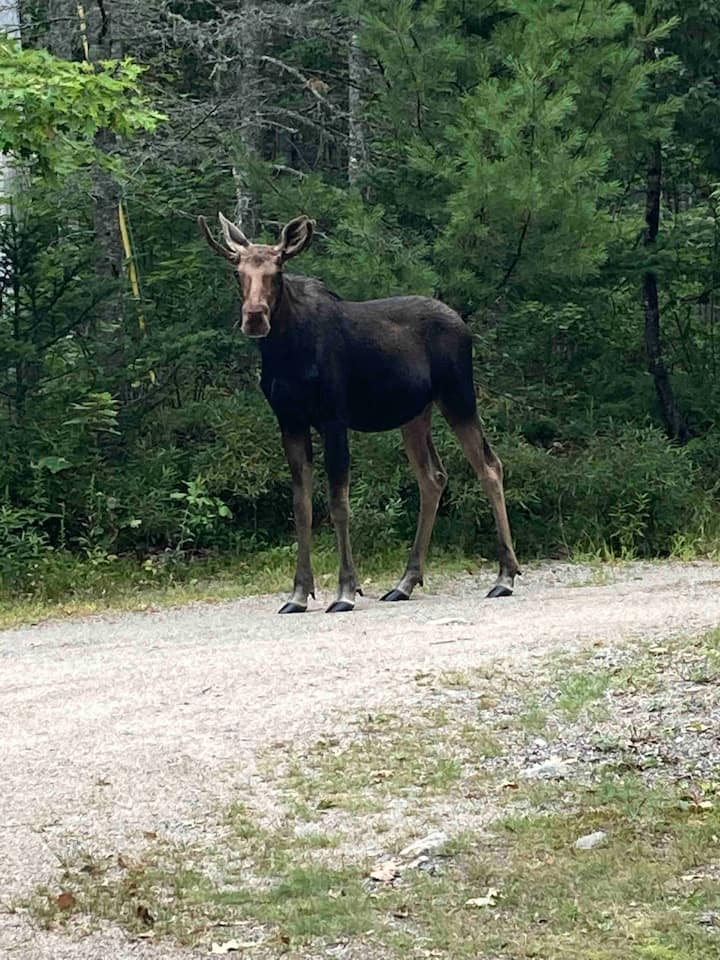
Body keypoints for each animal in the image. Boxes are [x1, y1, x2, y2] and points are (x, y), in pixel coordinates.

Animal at [199, 212, 521, 613]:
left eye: (277, 270)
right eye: (237, 271)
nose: (255, 317)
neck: (285, 353)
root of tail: (464, 325)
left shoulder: (334, 419)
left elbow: (338, 503)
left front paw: (345, 591)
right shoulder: (290, 421)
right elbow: (301, 505)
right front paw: (299, 593)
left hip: (458, 396)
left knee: (489, 466)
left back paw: (505, 576)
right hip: (415, 414)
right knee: (433, 477)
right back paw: (405, 582)